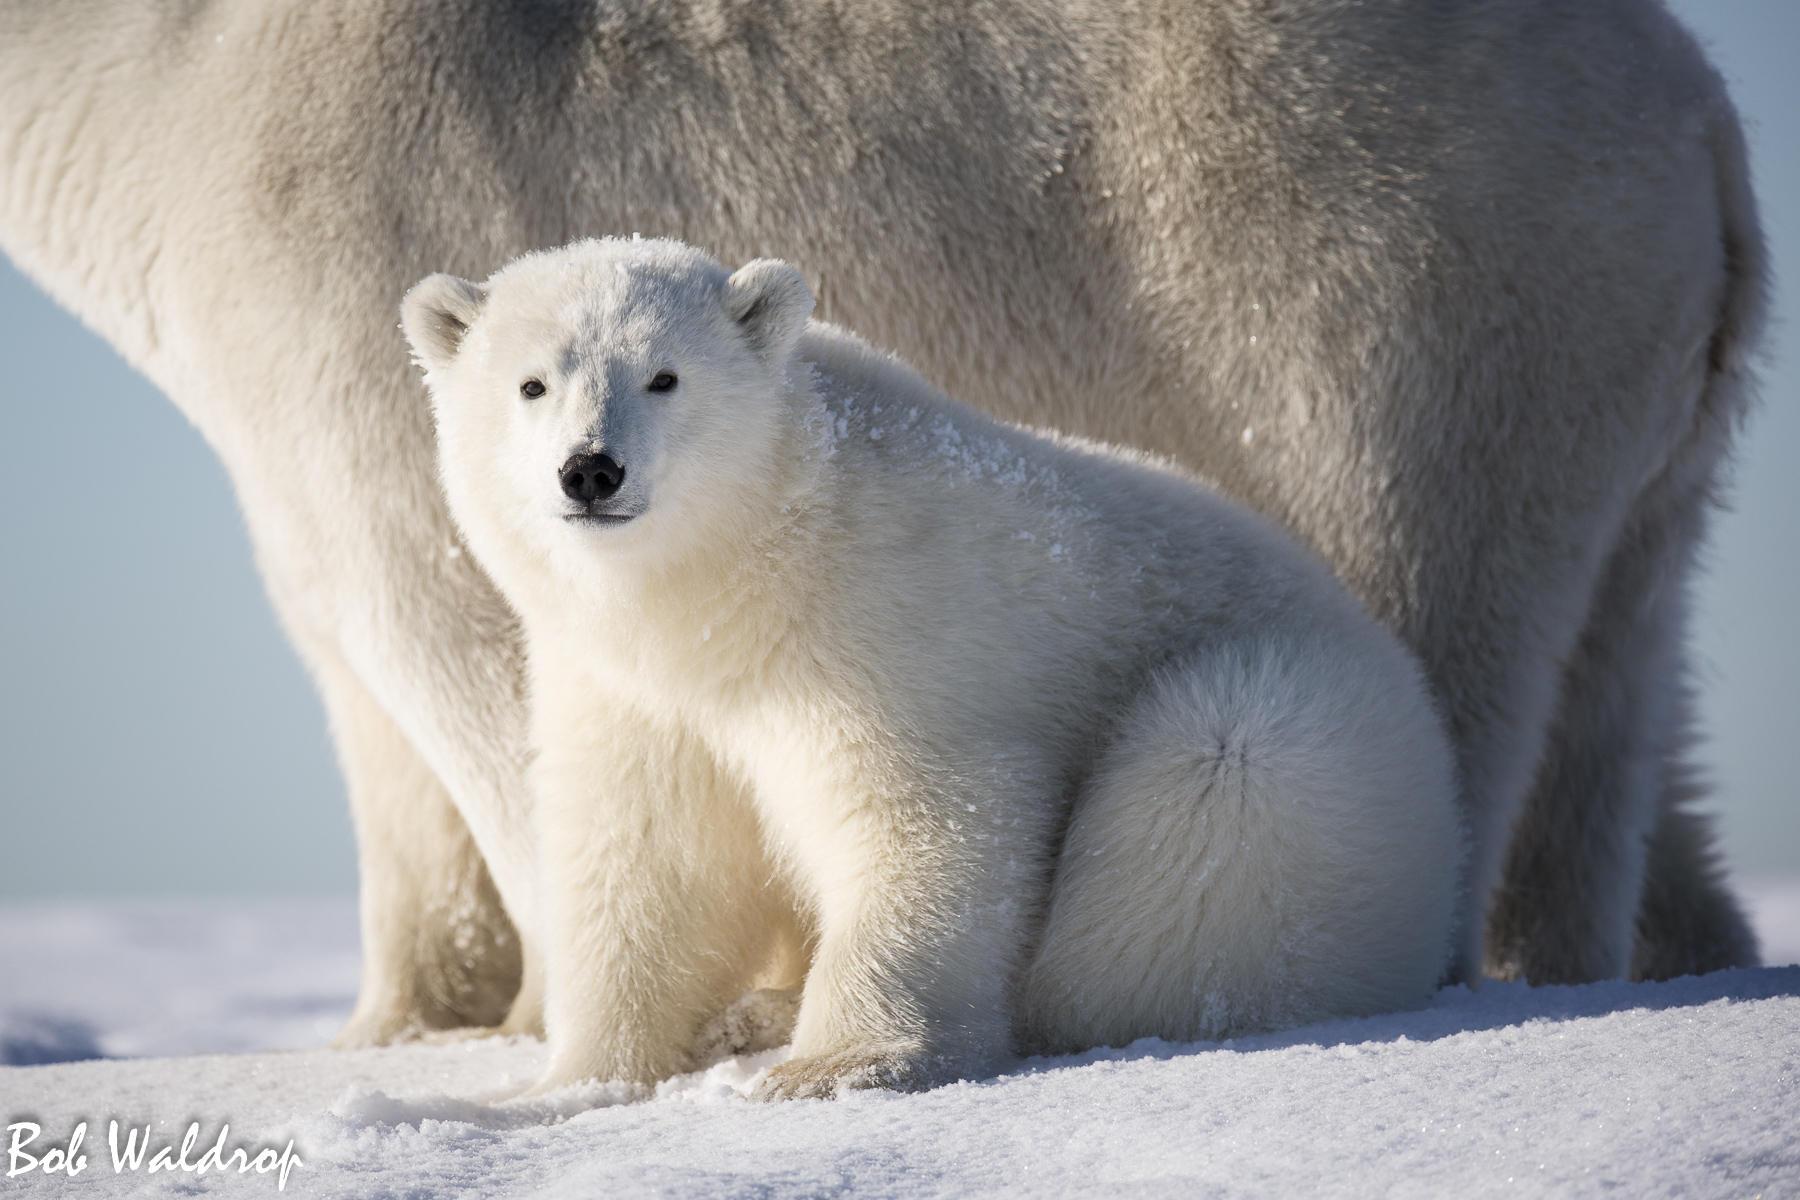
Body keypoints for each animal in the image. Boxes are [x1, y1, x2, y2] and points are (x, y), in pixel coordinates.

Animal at [0, 0, 1756, 1036]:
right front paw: (418, 1028)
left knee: (1432, 627)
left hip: (1391, 299)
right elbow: (370, 711)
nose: (592, 466)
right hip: (1637, 403)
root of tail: (1712, 128)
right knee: (1626, 692)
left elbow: (467, 656)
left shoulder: (327, 231)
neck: (161, 66)